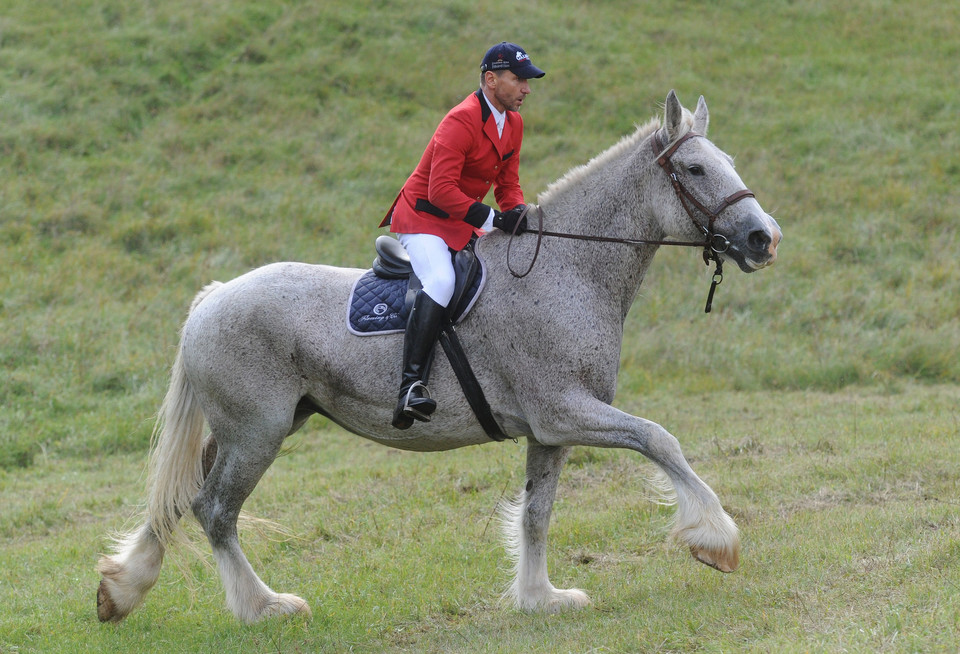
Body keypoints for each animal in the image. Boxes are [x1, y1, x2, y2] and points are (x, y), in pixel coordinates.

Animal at [99, 91, 780, 624]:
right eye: (694, 168)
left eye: (728, 163)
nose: (763, 238)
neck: (569, 267)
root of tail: (213, 298)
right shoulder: (565, 411)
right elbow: (660, 440)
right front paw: (714, 539)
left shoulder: (550, 430)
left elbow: (538, 512)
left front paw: (540, 597)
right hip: (256, 434)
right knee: (214, 511)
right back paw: (262, 607)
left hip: (253, 427)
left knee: (178, 500)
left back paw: (121, 590)